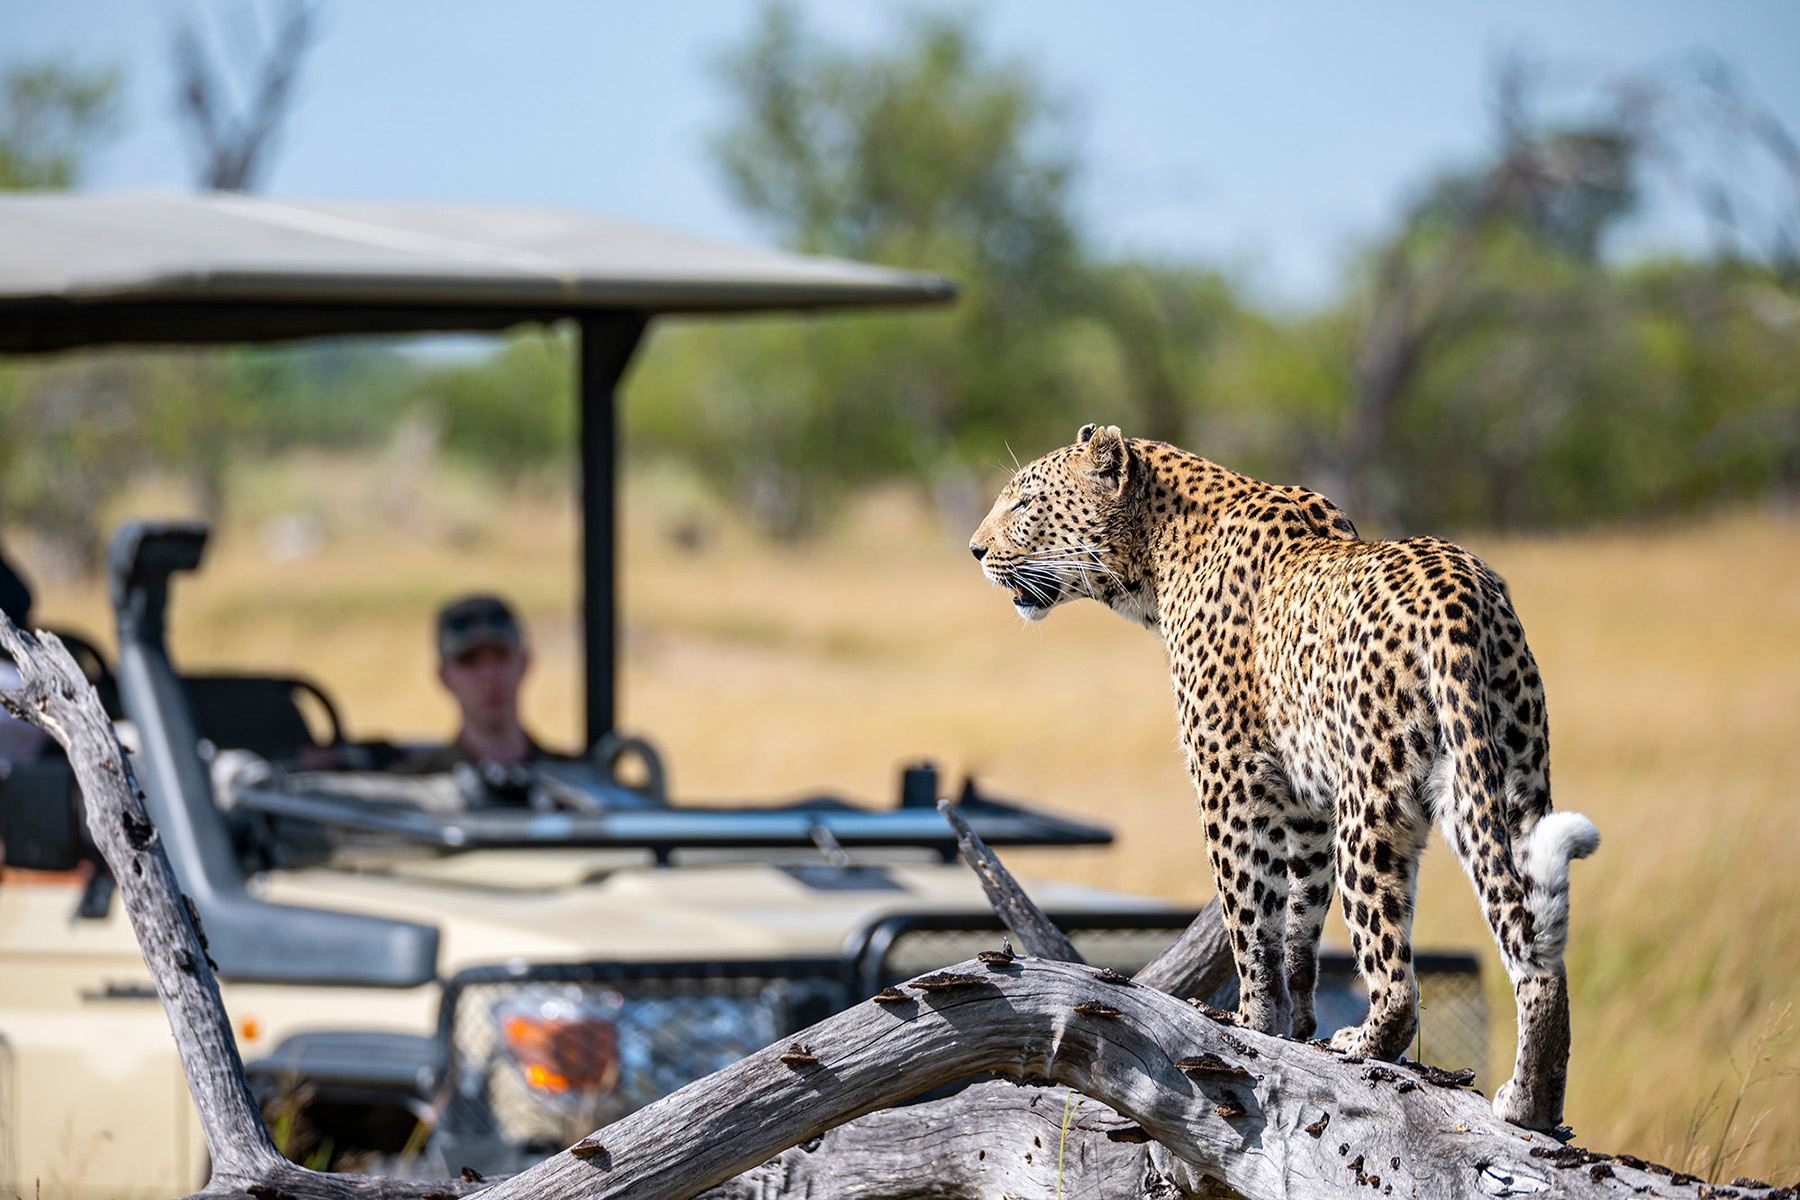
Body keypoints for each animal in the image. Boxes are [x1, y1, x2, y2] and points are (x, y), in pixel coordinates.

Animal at [969, 423, 1600, 1131]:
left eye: (1025, 503)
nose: (975, 550)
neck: (1156, 554)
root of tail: (1459, 590)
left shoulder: (1228, 775)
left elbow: (1249, 908)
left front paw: (1252, 1019)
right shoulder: (1304, 801)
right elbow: (1297, 918)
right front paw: (1294, 1025)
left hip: (1374, 805)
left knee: (1396, 973)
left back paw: (1366, 1043)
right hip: (1504, 781)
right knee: (1533, 943)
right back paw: (1530, 1102)